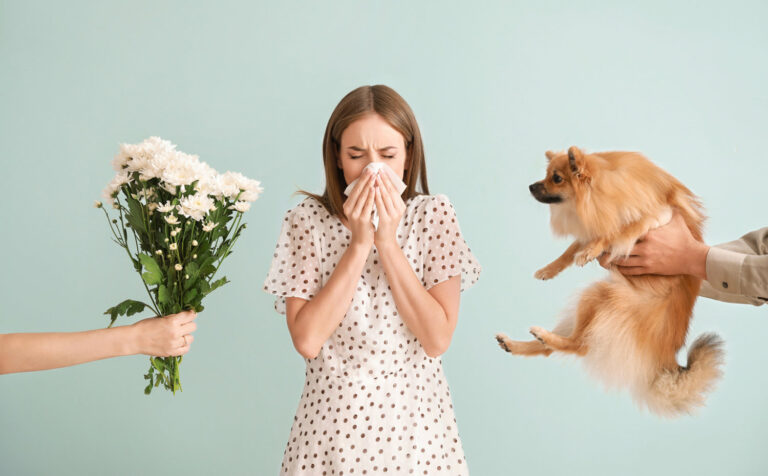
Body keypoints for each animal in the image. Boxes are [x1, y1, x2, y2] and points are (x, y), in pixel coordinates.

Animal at [498, 146, 728, 416]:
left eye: (556, 178)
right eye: (546, 175)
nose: (531, 186)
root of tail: (666, 360)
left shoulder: (656, 215)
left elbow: (617, 231)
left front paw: (590, 250)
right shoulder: (593, 225)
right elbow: (570, 250)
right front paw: (550, 269)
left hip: (601, 296)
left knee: (580, 346)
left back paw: (543, 335)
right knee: (553, 349)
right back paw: (514, 344)